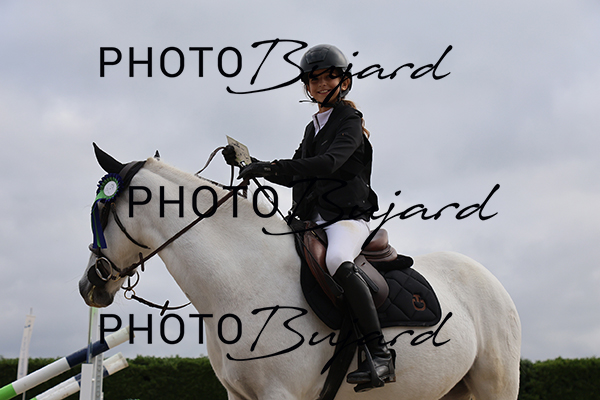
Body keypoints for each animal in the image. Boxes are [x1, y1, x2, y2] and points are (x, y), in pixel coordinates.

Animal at [79, 147, 521, 400]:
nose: (88, 284)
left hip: (497, 386)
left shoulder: (281, 394)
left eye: (100, 209)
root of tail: (492, 281)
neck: (243, 279)